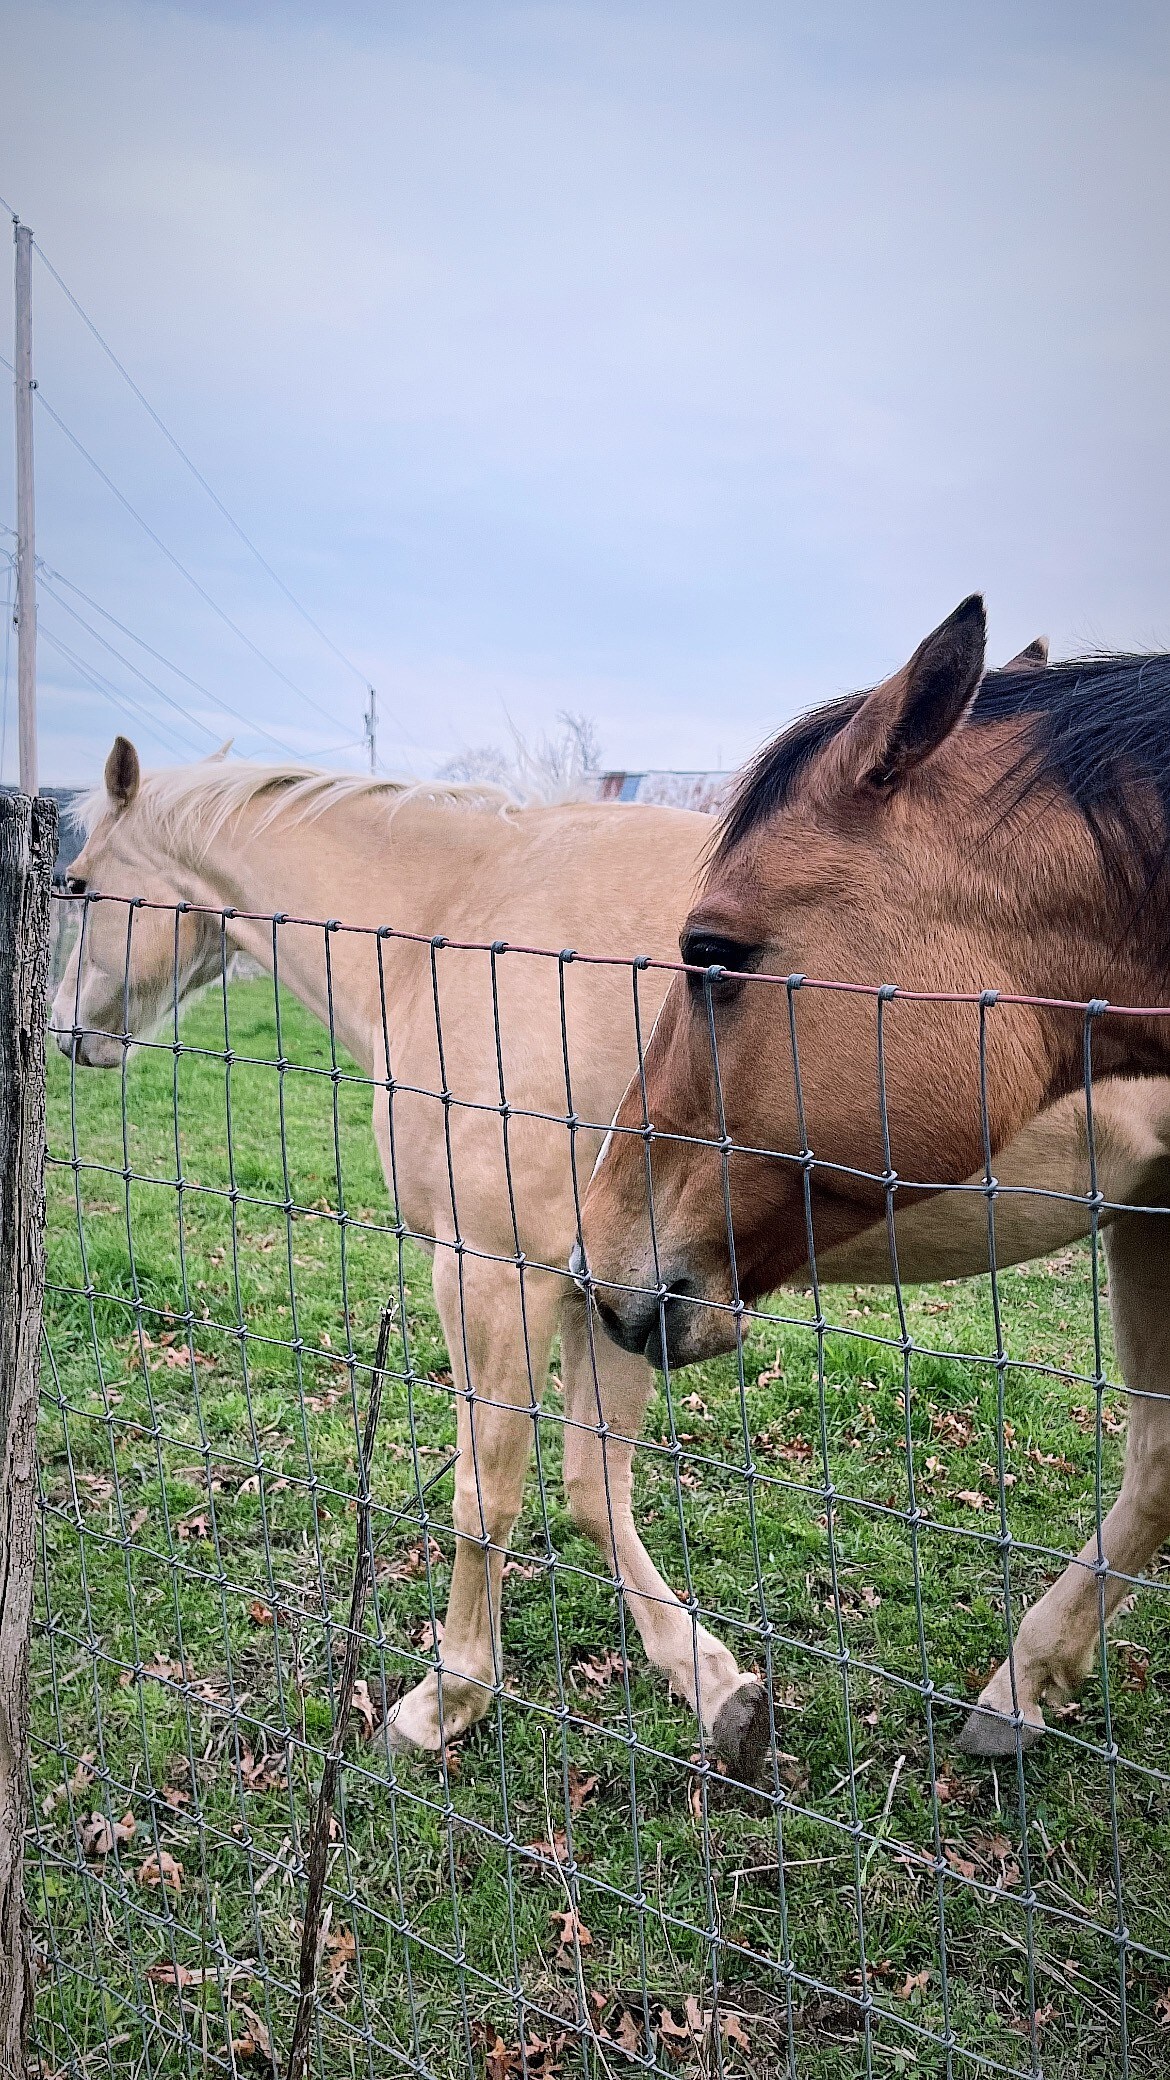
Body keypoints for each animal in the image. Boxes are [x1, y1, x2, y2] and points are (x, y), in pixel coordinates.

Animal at [61, 728, 1165, 1772]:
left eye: (74, 885)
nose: (69, 1031)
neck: (453, 921)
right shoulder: (617, 1288)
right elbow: (595, 1489)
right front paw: (712, 1685)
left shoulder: (495, 1271)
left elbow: (488, 1492)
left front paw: (449, 1697)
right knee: (1151, 1473)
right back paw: (1021, 1689)